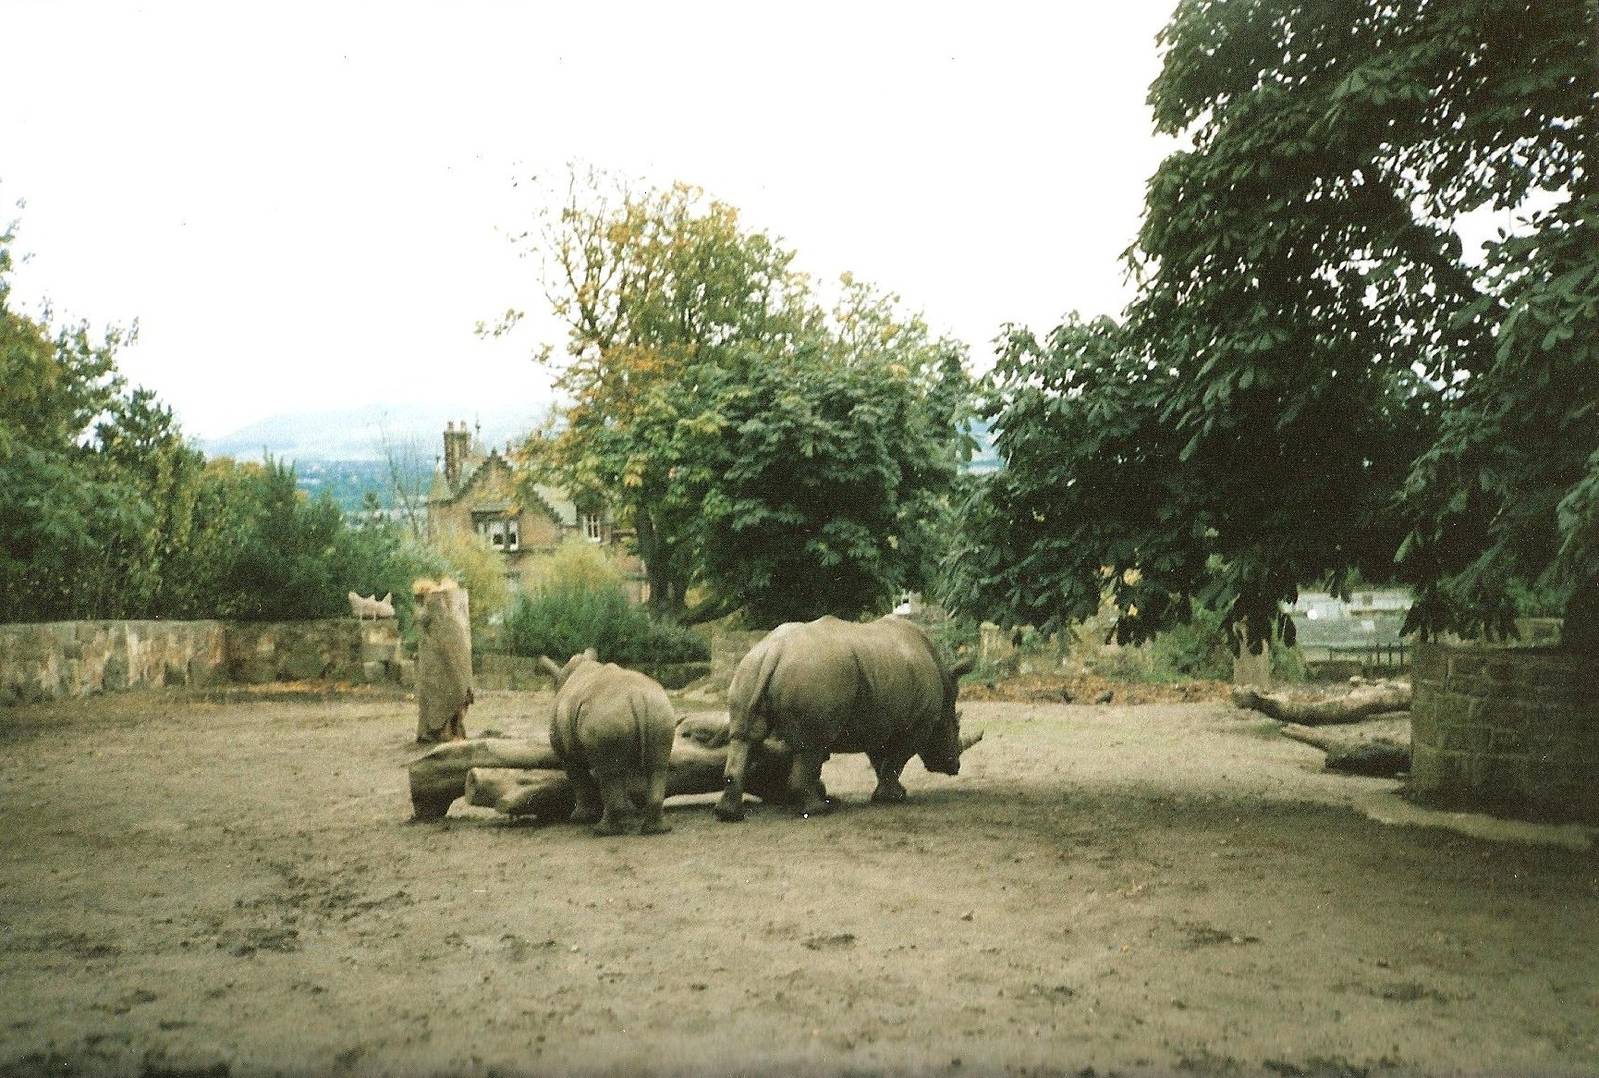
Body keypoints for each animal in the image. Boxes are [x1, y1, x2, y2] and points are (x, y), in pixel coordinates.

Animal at [539, 649, 677, 836]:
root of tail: (636, 695)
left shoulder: (567, 753)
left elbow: (578, 776)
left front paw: (580, 818)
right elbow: (623, 776)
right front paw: (630, 811)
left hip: (606, 714)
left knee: (607, 772)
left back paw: (603, 831)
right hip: (659, 708)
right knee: (656, 767)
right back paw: (656, 829)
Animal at [714, 615, 977, 822]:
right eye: (956, 726)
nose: (954, 766)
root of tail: (774, 651)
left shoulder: (878, 718)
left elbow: (881, 760)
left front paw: (887, 795)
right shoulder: (917, 724)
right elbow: (897, 759)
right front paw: (895, 797)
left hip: (750, 668)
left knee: (746, 738)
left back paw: (729, 815)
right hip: (815, 674)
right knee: (812, 746)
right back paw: (819, 810)